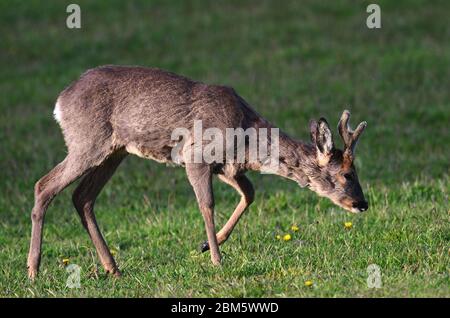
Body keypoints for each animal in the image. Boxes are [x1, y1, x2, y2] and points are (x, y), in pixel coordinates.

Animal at [26, 65, 368, 278]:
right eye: (347, 175)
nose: (363, 204)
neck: (246, 136)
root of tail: (60, 102)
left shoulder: (227, 167)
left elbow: (250, 193)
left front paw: (206, 246)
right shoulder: (195, 155)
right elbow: (207, 204)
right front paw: (216, 259)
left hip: (114, 151)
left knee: (82, 197)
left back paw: (113, 268)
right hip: (88, 142)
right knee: (44, 185)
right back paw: (33, 270)